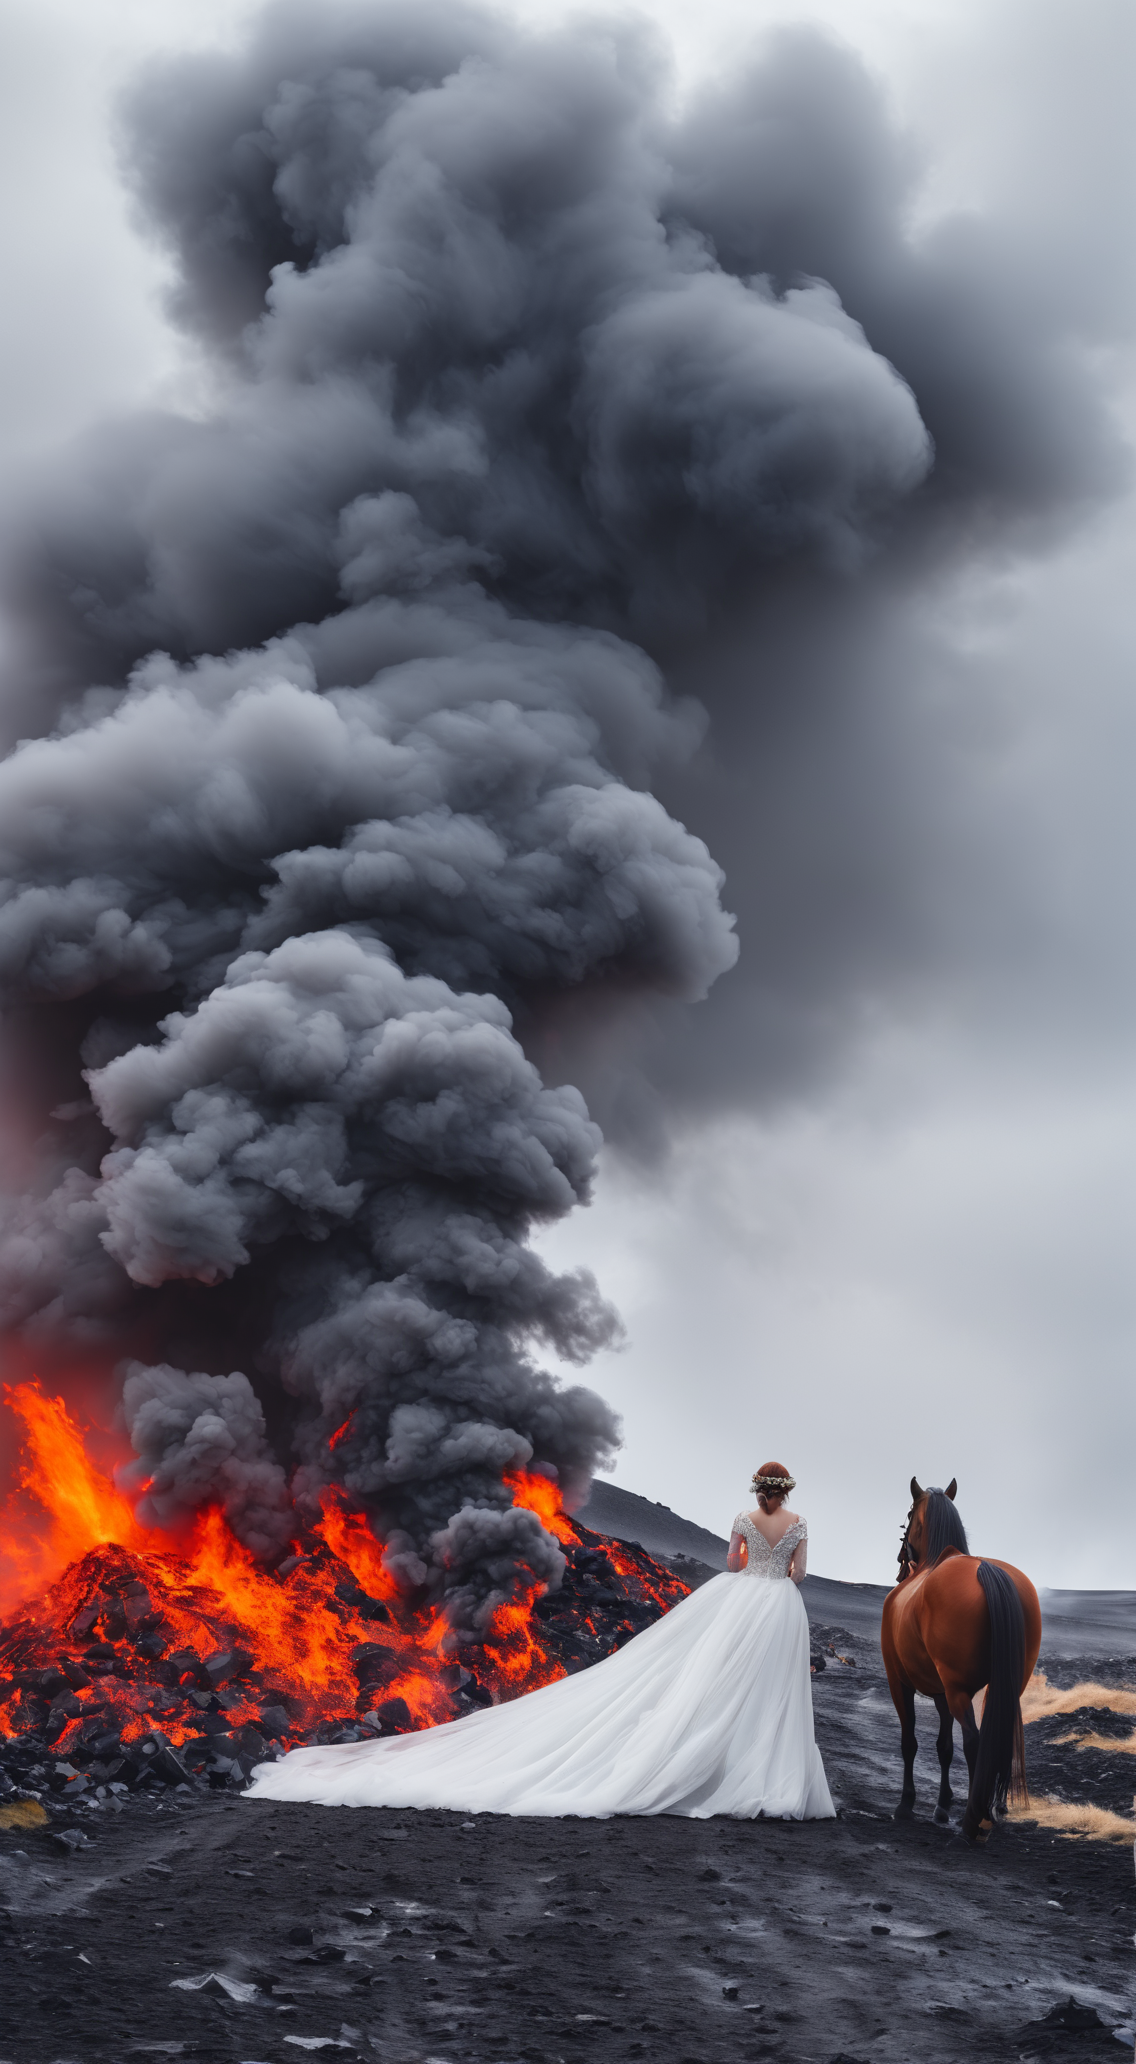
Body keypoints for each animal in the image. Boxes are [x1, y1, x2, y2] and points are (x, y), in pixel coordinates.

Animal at [888, 1477, 1045, 1849]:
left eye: (908, 1518)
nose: (900, 1563)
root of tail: (987, 1569)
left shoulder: (899, 1681)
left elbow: (910, 1742)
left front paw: (906, 1804)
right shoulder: (941, 1692)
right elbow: (944, 1747)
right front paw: (942, 1806)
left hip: (958, 1690)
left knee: (974, 1741)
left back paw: (975, 1820)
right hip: (1005, 1686)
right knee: (997, 1738)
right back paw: (994, 1809)